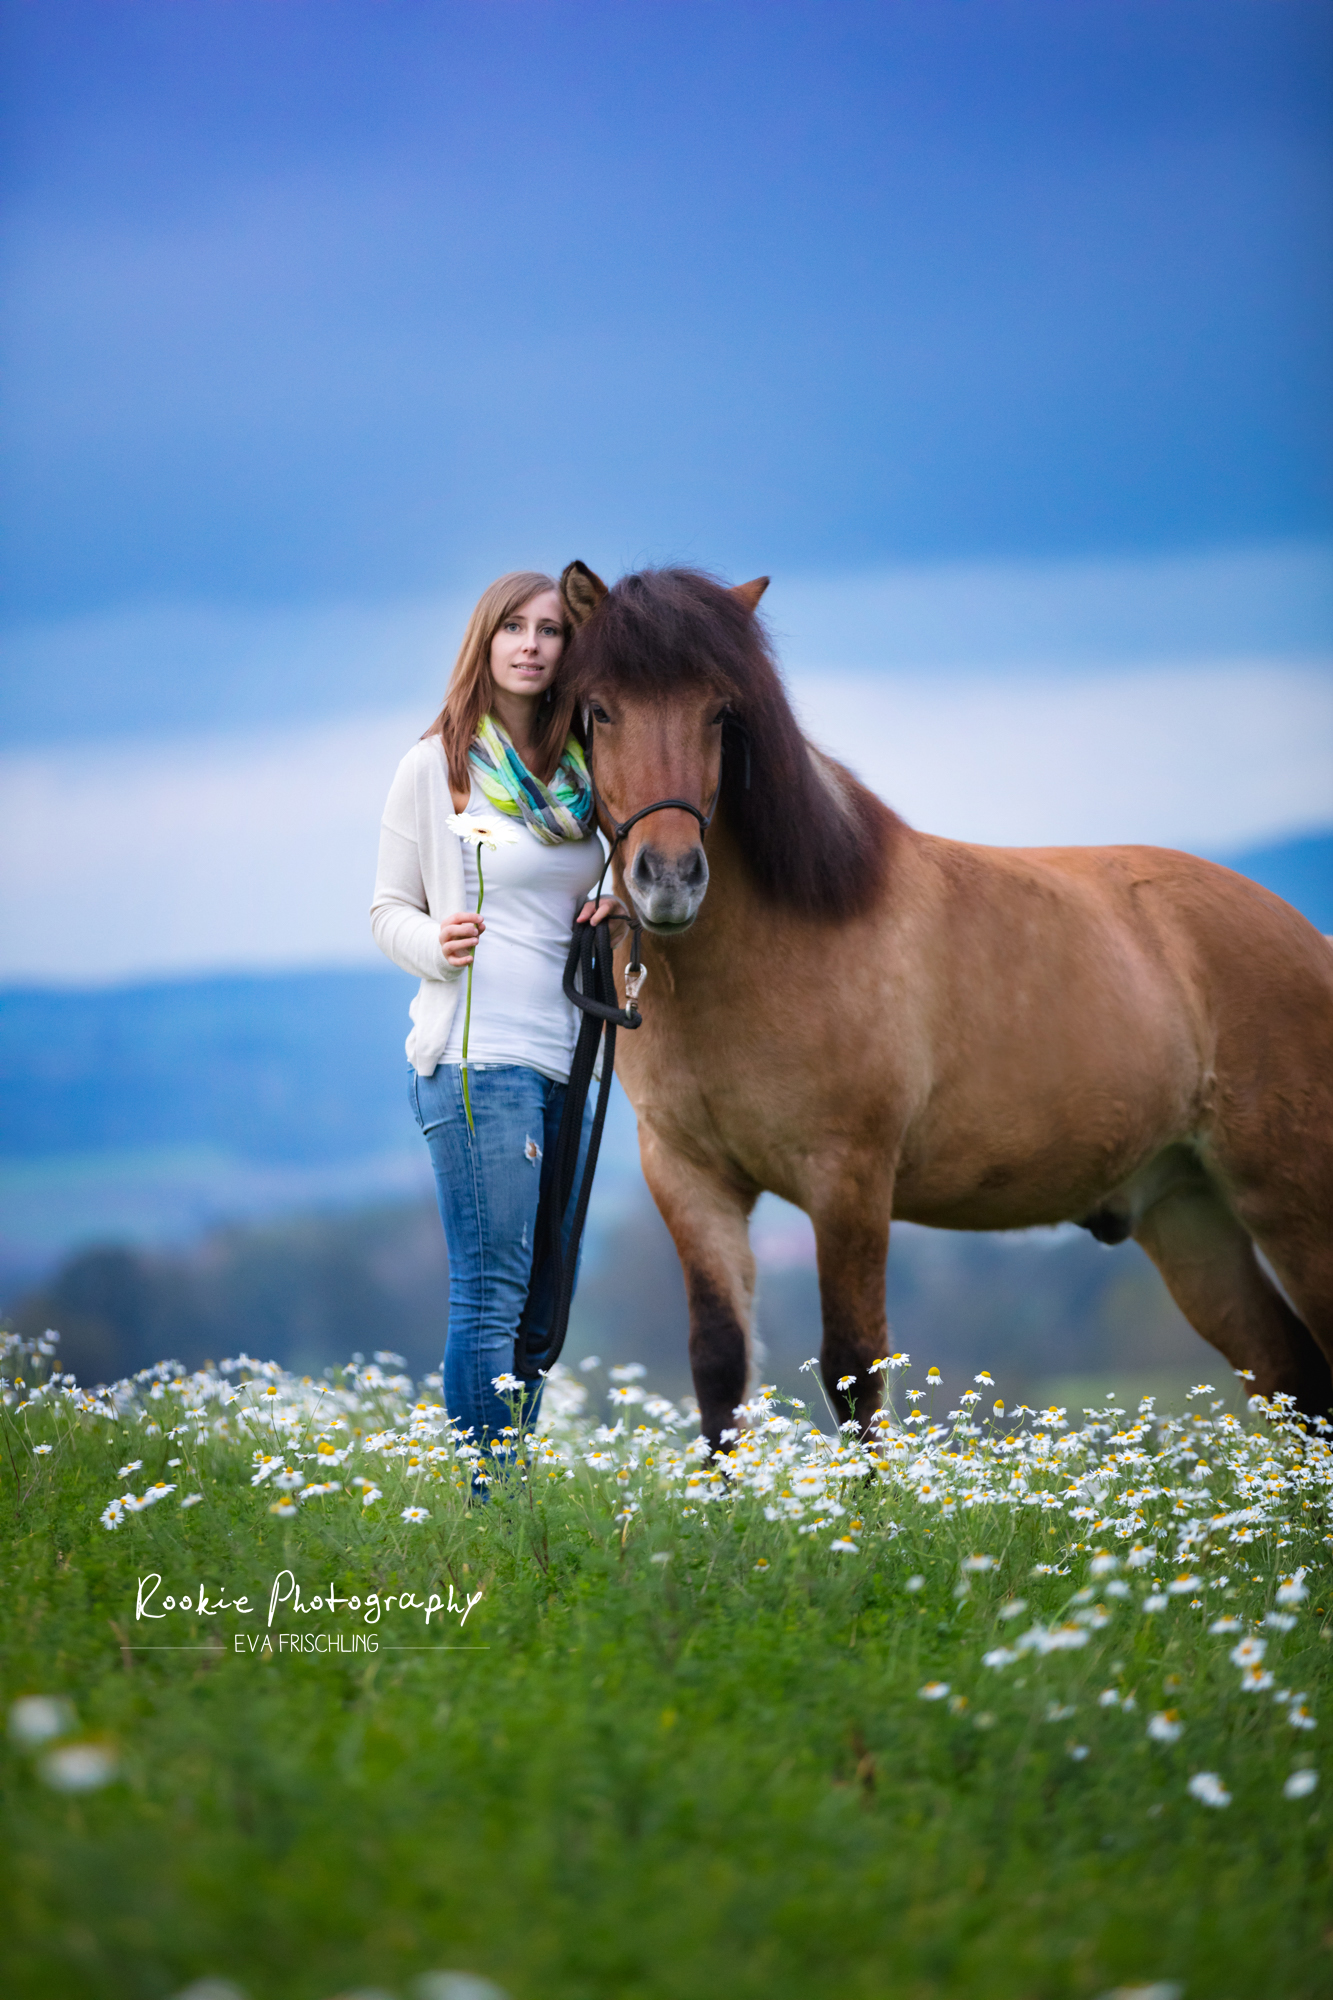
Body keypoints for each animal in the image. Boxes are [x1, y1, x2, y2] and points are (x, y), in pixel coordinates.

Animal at [559, 560, 1333, 1446]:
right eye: (599, 710)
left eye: (720, 712)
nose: (669, 879)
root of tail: (1306, 937)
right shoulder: (688, 1179)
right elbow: (719, 1370)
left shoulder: (849, 1181)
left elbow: (854, 1372)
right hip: (1185, 1212)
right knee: (1289, 1374)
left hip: (1293, 1202)